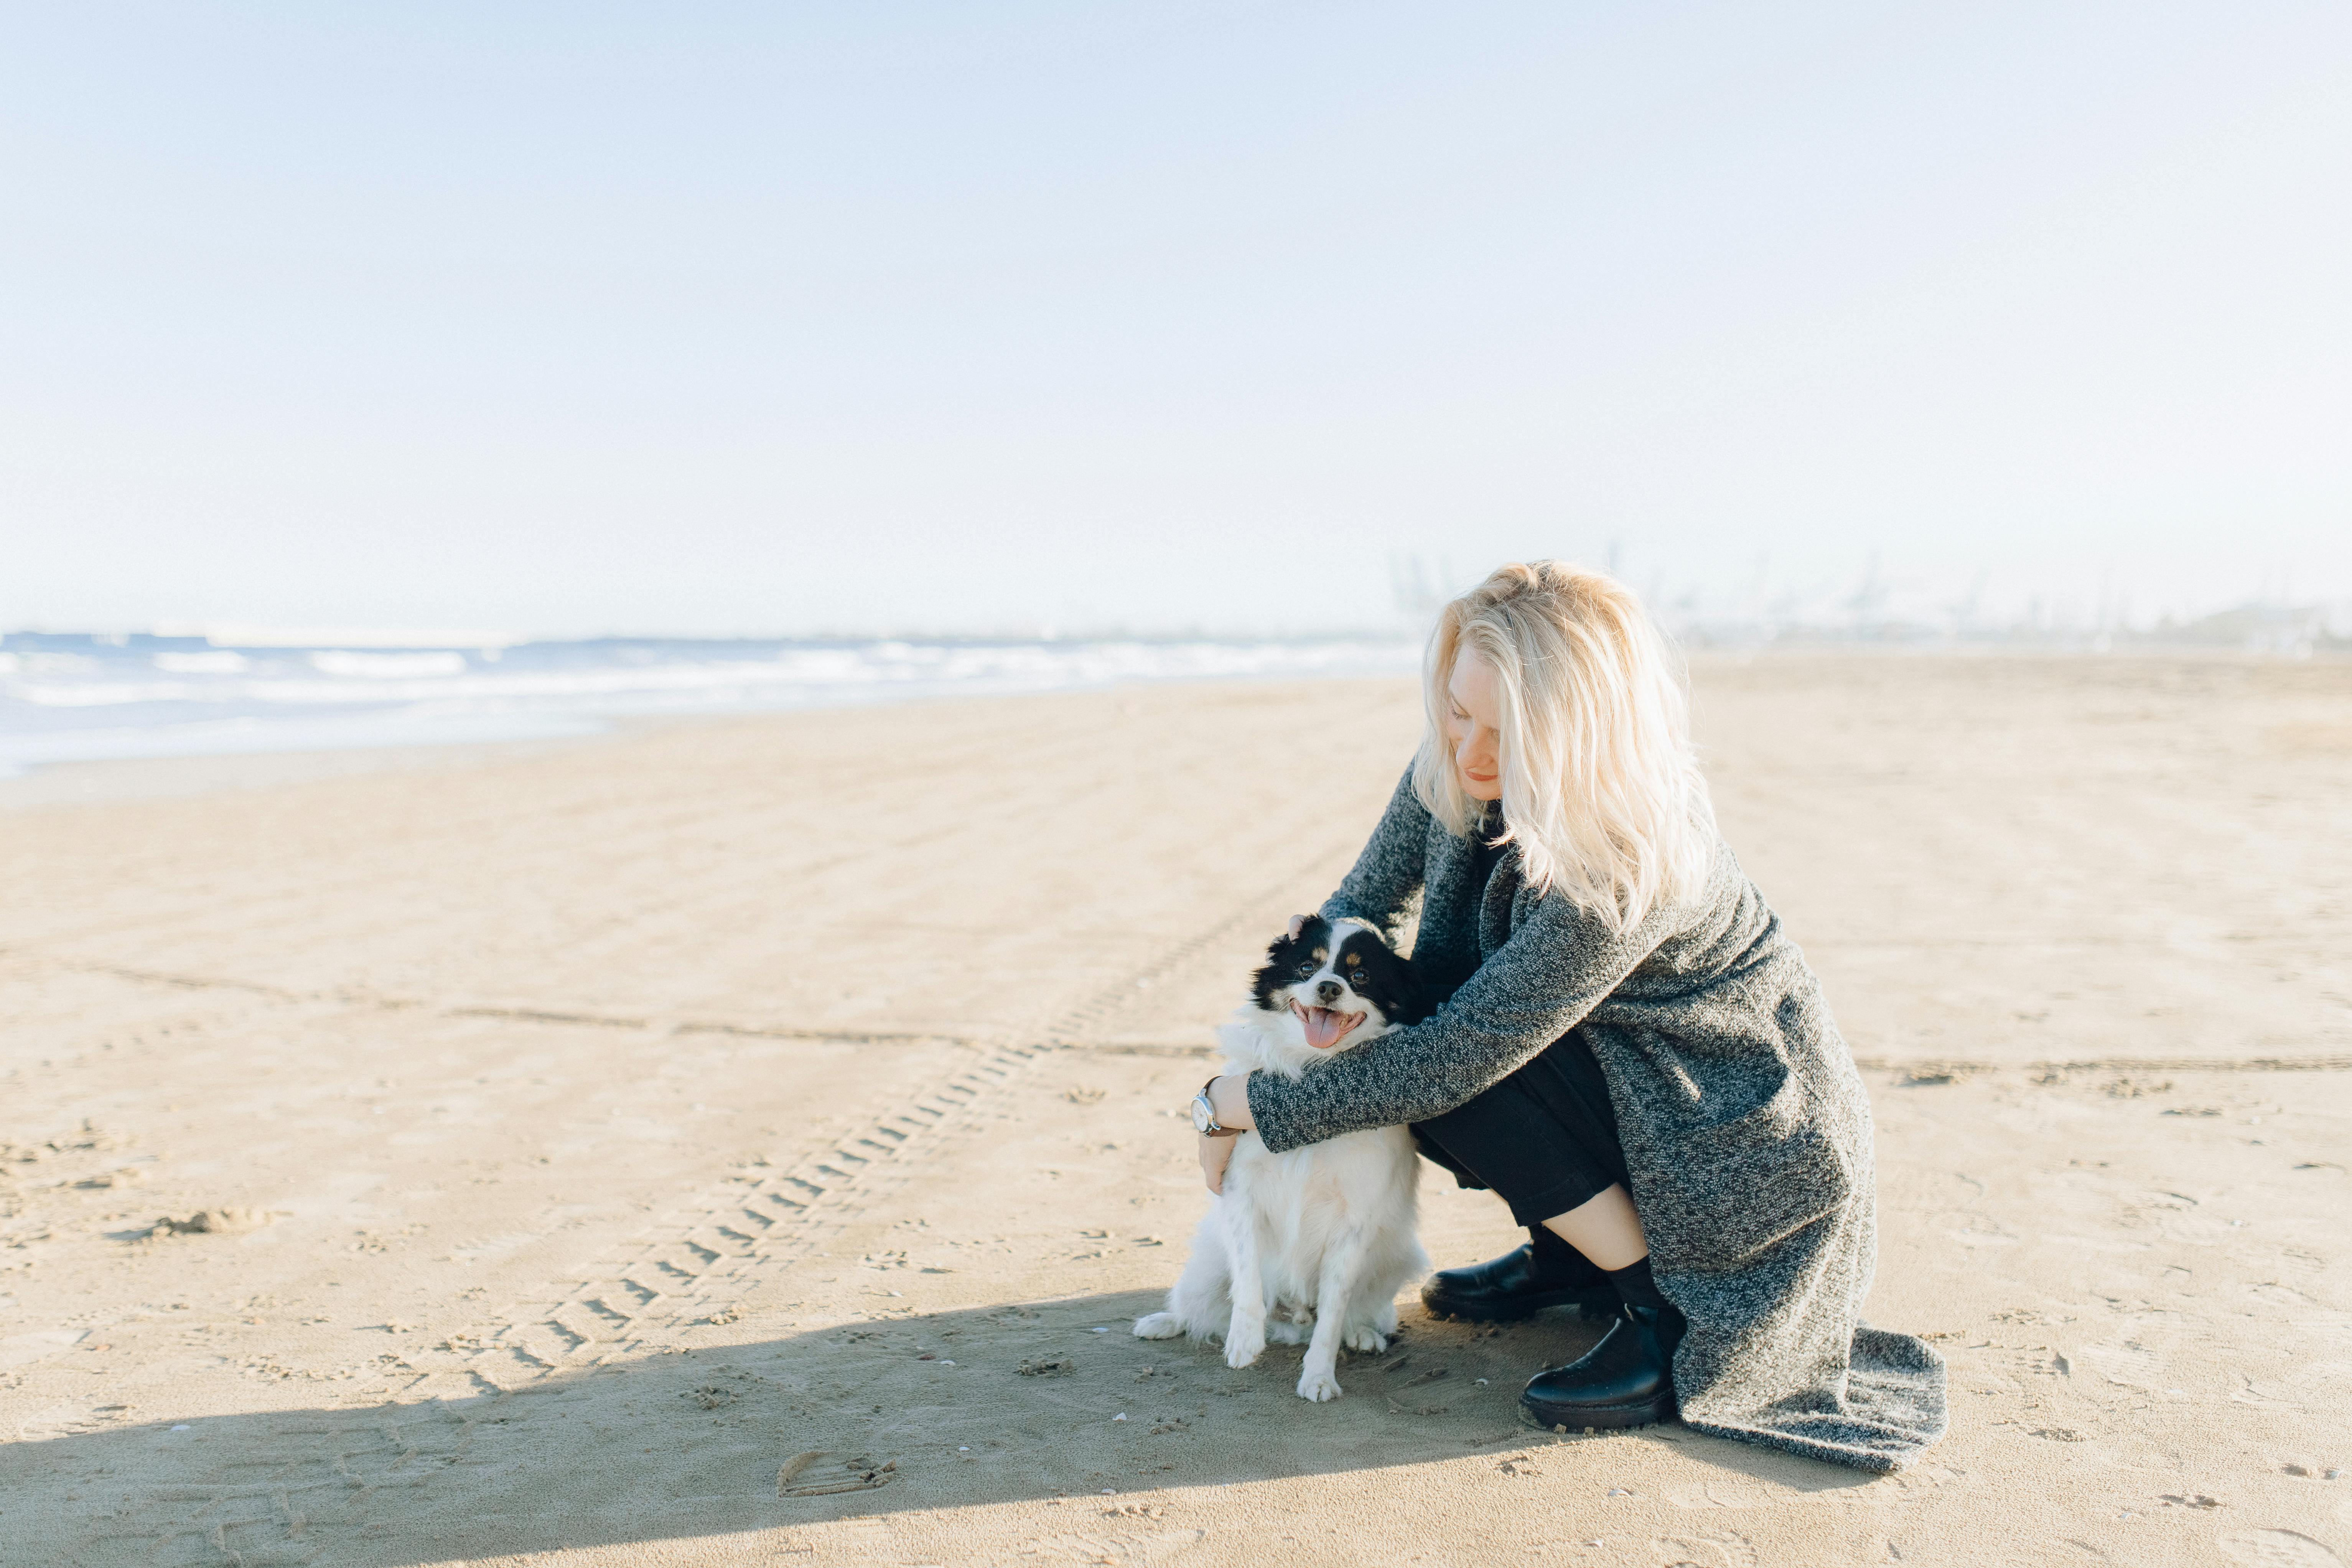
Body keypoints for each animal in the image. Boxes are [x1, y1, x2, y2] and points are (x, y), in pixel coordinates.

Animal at [1138, 912, 1430, 1401]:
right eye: (1306, 967)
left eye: (1361, 976)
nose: (1329, 987)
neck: (1310, 1066)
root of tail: (1293, 1321)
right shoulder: (1241, 1193)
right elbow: (1248, 1280)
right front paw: (1243, 1340)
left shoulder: (1354, 1223)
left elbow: (1333, 1312)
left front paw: (1319, 1376)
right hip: (1206, 1266)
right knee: (1197, 1303)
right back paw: (1164, 1322)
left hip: (1393, 1258)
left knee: (1349, 1312)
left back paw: (1362, 1332)